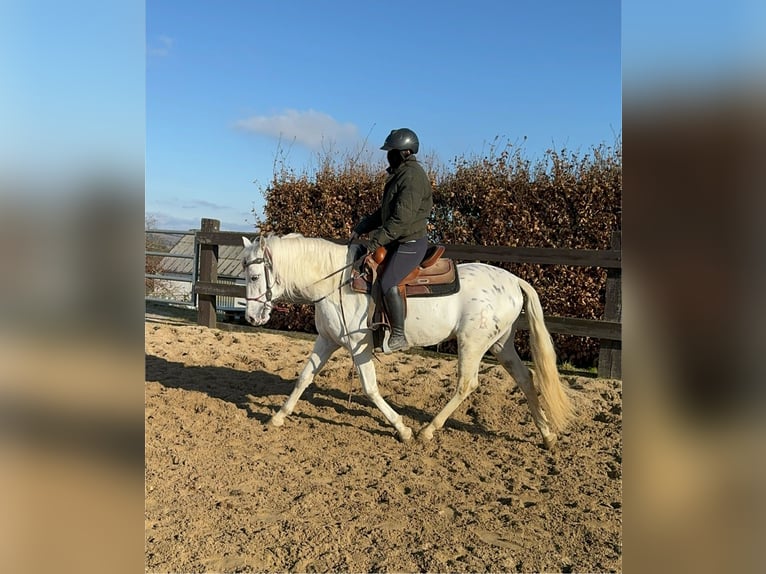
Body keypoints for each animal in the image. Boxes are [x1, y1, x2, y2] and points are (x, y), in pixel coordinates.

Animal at [243, 234, 572, 450]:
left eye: (255, 276)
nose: (250, 317)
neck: (336, 282)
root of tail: (514, 280)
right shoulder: (327, 340)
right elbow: (303, 378)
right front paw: (277, 418)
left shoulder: (358, 346)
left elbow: (370, 389)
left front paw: (402, 429)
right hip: (501, 344)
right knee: (525, 378)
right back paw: (547, 436)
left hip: (472, 343)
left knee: (467, 384)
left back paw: (427, 431)